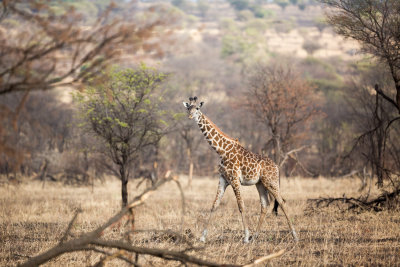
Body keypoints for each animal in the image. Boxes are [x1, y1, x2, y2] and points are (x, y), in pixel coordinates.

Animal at [183, 97, 298, 245]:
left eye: (197, 108)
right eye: (188, 108)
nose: (190, 116)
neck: (221, 150)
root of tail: (276, 166)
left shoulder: (234, 179)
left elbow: (241, 205)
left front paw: (245, 237)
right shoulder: (223, 179)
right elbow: (214, 205)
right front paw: (202, 237)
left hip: (271, 182)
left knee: (281, 202)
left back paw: (295, 236)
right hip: (260, 184)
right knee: (265, 205)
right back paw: (255, 236)